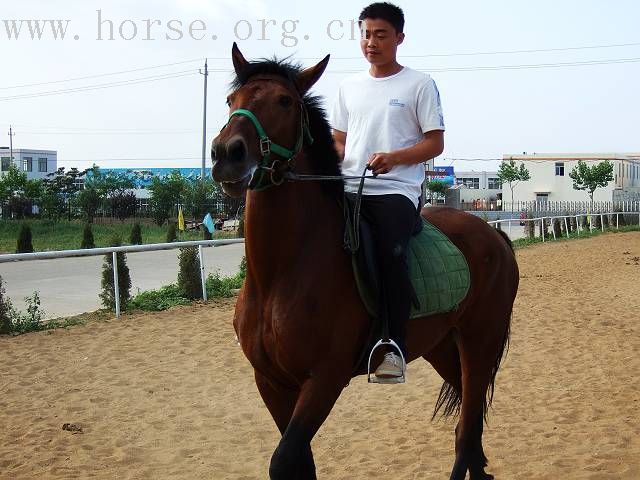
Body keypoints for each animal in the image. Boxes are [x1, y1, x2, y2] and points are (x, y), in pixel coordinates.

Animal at [212, 43, 516, 478]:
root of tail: (494, 234)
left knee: (468, 424)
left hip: (480, 341)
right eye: (230, 100)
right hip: (443, 345)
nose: (227, 154)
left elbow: (285, 459)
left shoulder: (324, 379)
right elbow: (299, 461)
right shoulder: (271, 381)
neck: (281, 273)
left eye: (284, 101)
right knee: (469, 424)